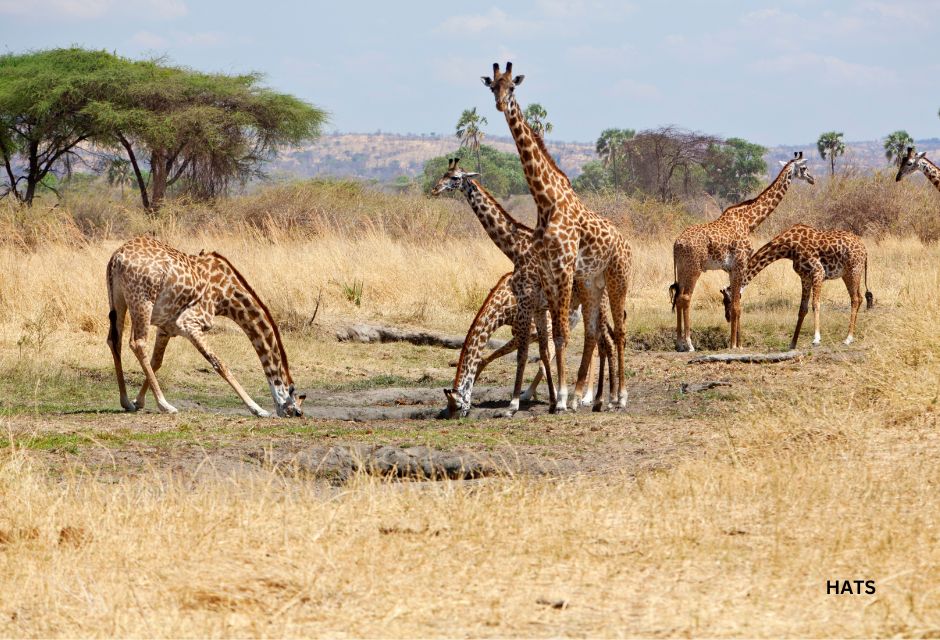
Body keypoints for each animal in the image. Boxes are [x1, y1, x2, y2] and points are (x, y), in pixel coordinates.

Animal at [106, 238, 304, 418]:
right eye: (297, 408)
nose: (297, 414)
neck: (226, 297)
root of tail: (117, 258)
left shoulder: (166, 327)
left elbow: (157, 362)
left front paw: (138, 401)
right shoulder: (190, 323)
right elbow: (219, 363)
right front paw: (257, 409)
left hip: (119, 300)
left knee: (115, 341)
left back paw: (126, 401)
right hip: (143, 301)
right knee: (137, 343)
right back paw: (165, 405)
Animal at [432, 160, 612, 416]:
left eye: (455, 177)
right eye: (443, 174)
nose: (435, 189)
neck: (517, 246)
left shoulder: (527, 309)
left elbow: (524, 355)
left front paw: (516, 403)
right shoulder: (535, 311)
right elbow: (541, 355)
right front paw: (549, 399)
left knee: (601, 341)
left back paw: (592, 397)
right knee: (600, 340)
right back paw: (598, 397)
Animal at [484, 62, 632, 412]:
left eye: (512, 87)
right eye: (492, 86)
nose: (500, 104)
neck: (545, 201)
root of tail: (627, 245)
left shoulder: (563, 268)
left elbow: (561, 333)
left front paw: (561, 399)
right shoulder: (549, 272)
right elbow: (557, 336)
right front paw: (560, 398)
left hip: (618, 278)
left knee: (619, 331)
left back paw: (619, 397)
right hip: (592, 283)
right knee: (594, 332)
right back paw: (591, 397)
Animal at [668, 151, 816, 350]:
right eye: (804, 168)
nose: (812, 179)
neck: (749, 222)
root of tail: (677, 244)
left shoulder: (732, 268)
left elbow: (736, 304)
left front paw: (736, 343)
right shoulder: (740, 263)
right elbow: (737, 305)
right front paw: (734, 345)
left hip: (683, 268)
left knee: (677, 297)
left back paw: (679, 343)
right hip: (694, 268)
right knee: (685, 298)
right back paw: (689, 344)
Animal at [720, 224, 872, 350]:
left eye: (727, 302)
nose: (727, 318)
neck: (788, 248)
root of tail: (865, 250)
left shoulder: (818, 272)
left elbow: (815, 304)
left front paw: (816, 339)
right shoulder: (805, 277)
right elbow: (802, 309)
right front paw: (792, 343)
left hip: (854, 270)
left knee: (855, 299)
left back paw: (848, 338)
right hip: (847, 274)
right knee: (859, 297)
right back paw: (851, 337)